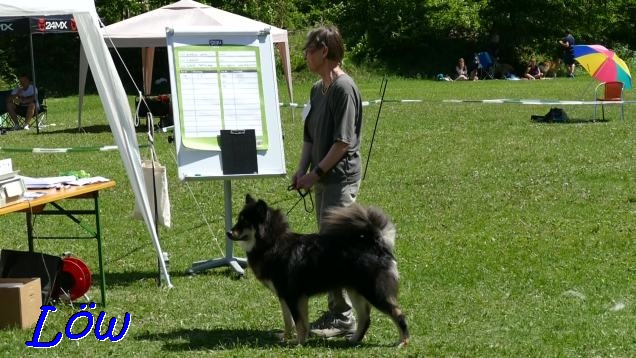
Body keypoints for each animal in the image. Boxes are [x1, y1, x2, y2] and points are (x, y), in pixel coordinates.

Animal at [226, 194, 410, 348]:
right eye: (238, 219)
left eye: (244, 222)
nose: (228, 232)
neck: (272, 243)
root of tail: (377, 243)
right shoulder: (286, 296)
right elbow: (289, 321)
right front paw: (286, 337)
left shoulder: (293, 295)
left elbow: (299, 322)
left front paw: (298, 343)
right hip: (356, 291)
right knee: (365, 318)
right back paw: (353, 340)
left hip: (374, 291)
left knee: (397, 313)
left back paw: (403, 342)